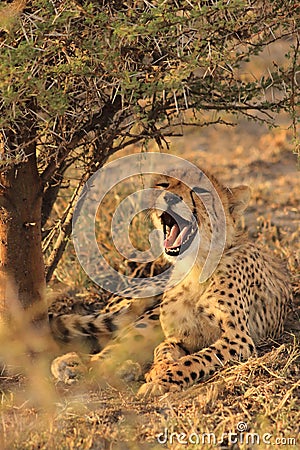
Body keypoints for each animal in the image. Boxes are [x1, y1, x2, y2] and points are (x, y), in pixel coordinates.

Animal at [50, 167, 292, 396]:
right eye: (164, 185)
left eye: (201, 190)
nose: (170, 198)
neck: (195, 266)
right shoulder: (178, 336)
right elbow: (163, 350)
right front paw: (159, 370)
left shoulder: (238, 339)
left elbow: (195, 360)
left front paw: (162, 381)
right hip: (145, 319)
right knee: (106, 351)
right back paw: (74, 365)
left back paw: (123, 368)